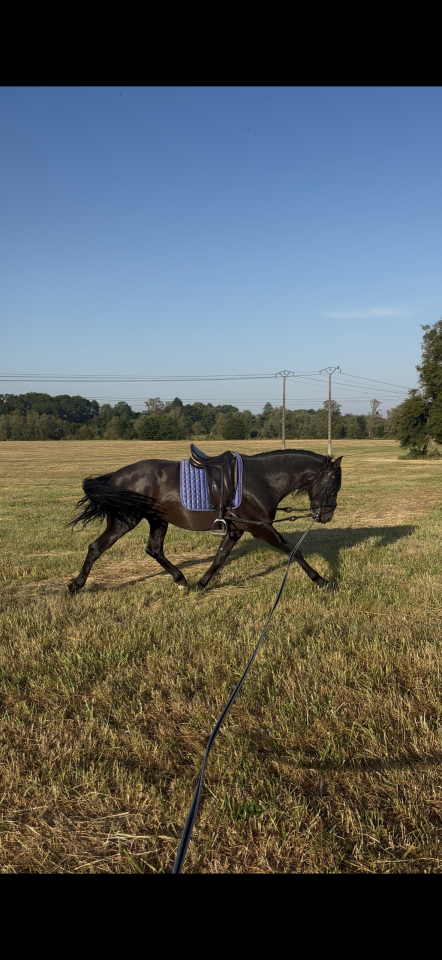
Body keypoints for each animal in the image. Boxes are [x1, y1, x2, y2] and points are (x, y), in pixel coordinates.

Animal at [67, 448, 342, 595]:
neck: (261, 478)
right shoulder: (260, 528)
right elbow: (293, 551)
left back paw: (181, 580)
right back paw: (76, 585)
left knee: (154, 550)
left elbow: (220, 558)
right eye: (333, 484)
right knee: (96, 548)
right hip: (125, 522)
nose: (326, 516)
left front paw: (201, 583)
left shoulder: (236, 529)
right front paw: (320, 580)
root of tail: (116, 477)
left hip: (158, 520)